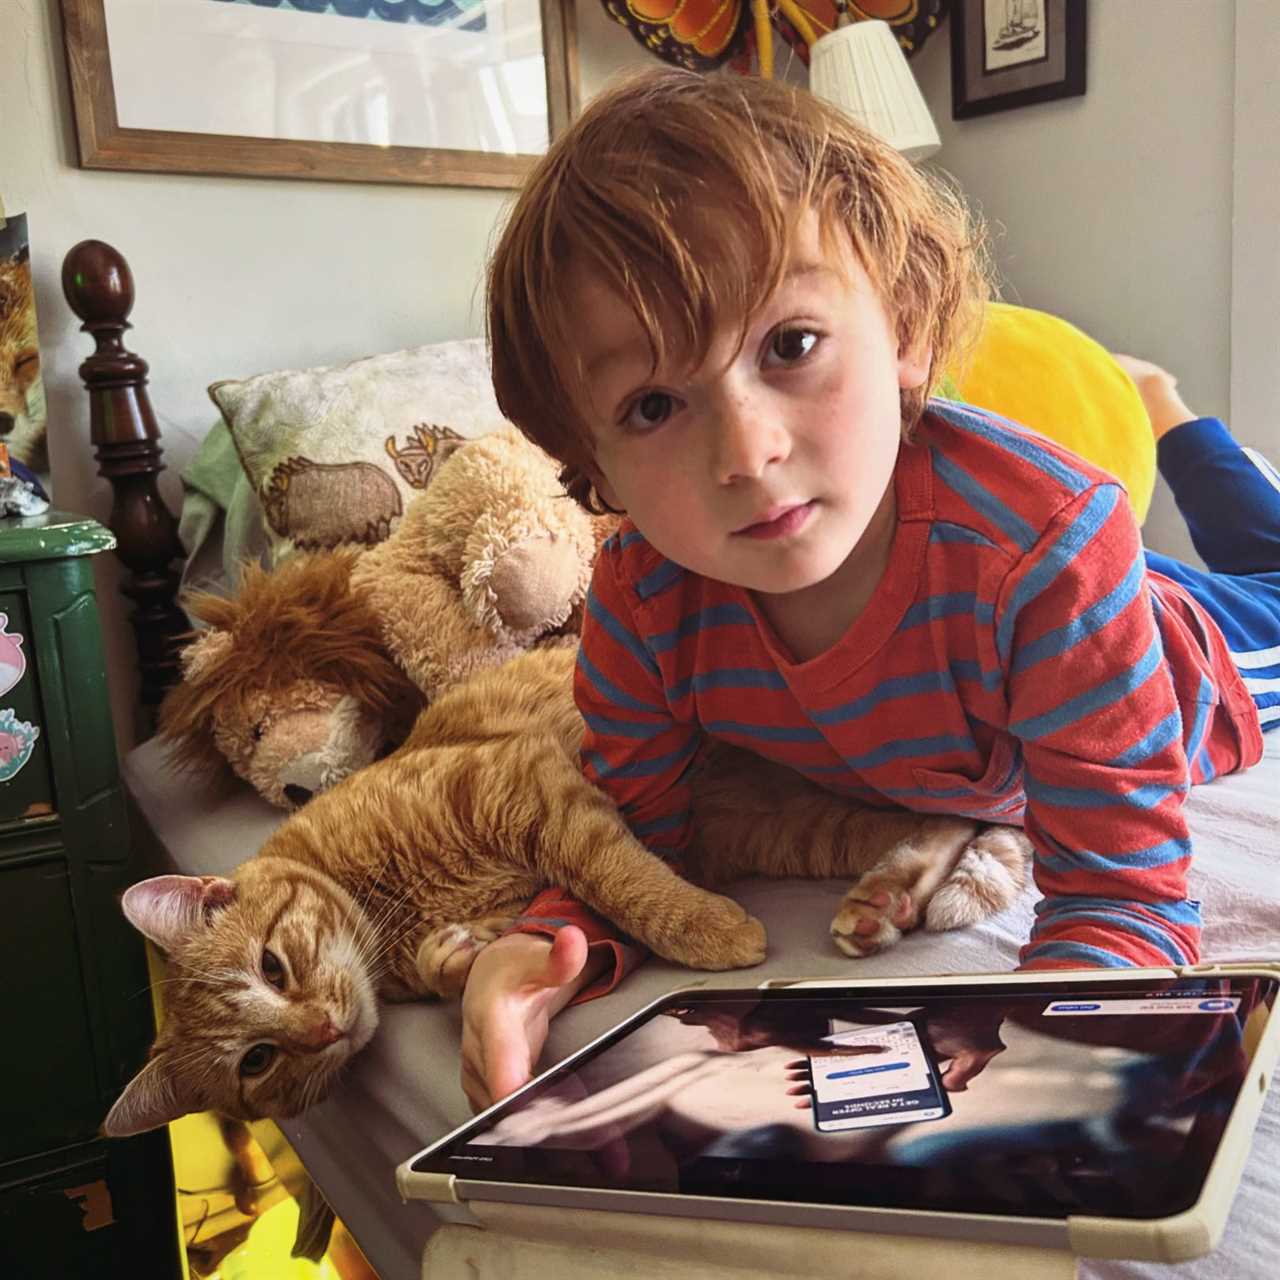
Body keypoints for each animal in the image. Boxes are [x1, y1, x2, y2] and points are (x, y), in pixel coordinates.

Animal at [107, 650, 1029, 1131]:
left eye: (272, 966)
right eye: (257, 1063)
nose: (323, 1028)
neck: (382, 906)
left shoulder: (526, 787)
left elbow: (620, 879)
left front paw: (707, 929)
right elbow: (528, 930)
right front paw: (459, 961)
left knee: (983, 812)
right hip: (788, 826)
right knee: (945, 819)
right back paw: (887, 900)